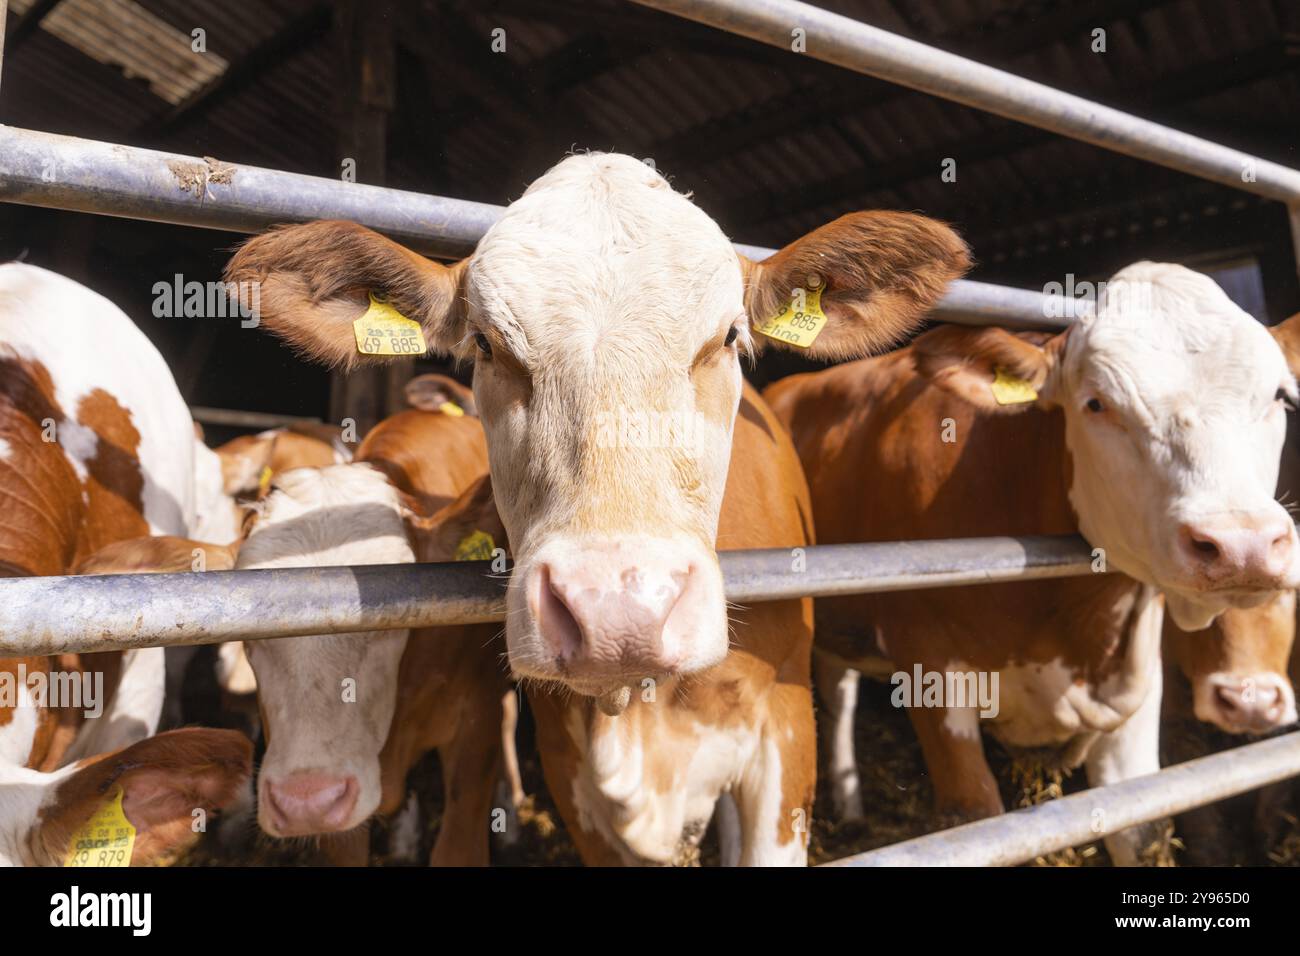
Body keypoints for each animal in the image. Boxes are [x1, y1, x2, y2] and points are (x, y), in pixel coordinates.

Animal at [759, 265, 1300, 863]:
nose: (1243, 545)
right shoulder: (930, 666)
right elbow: (975, 819)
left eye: (1279, 397)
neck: (1067, 620)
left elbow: (1139, 826)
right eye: (1096, 403)